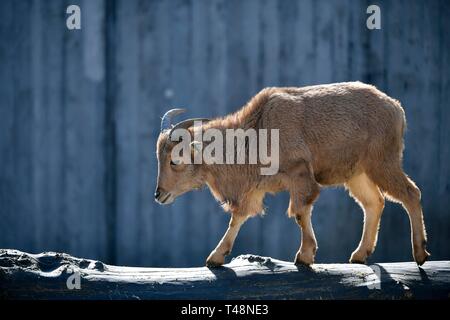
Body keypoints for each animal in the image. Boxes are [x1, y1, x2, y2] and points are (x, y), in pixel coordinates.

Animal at [156, 81, 430, 266]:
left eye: (175, 160)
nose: (159, 195)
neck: (257, 130)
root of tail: (396, 108)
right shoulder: (253, 189)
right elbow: (239, 217)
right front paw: (216, 257)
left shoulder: (299, 174)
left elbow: (299, 211)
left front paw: (305, 256)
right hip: (357, 175)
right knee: (374, 203)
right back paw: (359, 255)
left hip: (382, 163)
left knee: (410, 193)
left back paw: (420, 254)